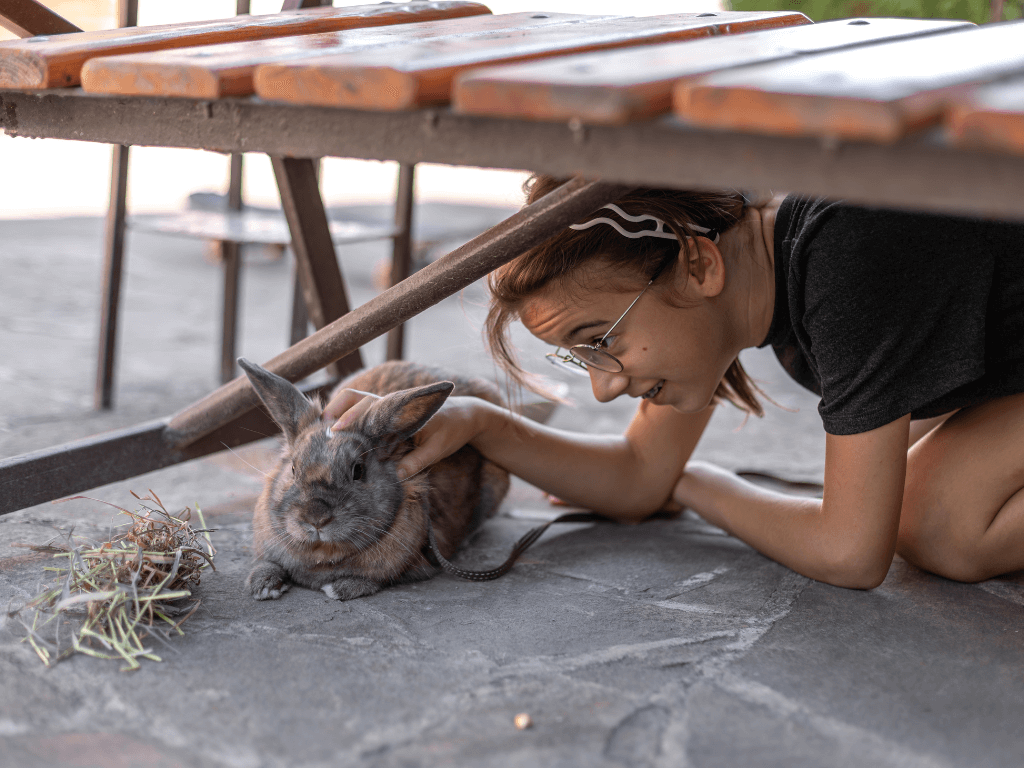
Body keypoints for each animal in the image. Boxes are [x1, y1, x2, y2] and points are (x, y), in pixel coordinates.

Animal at [238, 358, 512, 606]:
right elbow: (267, 564)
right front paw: (262, 585)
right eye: (293, 469)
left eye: (358, 471)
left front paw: (339, 588)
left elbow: (376, 580)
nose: (316, 518)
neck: (322, 553)